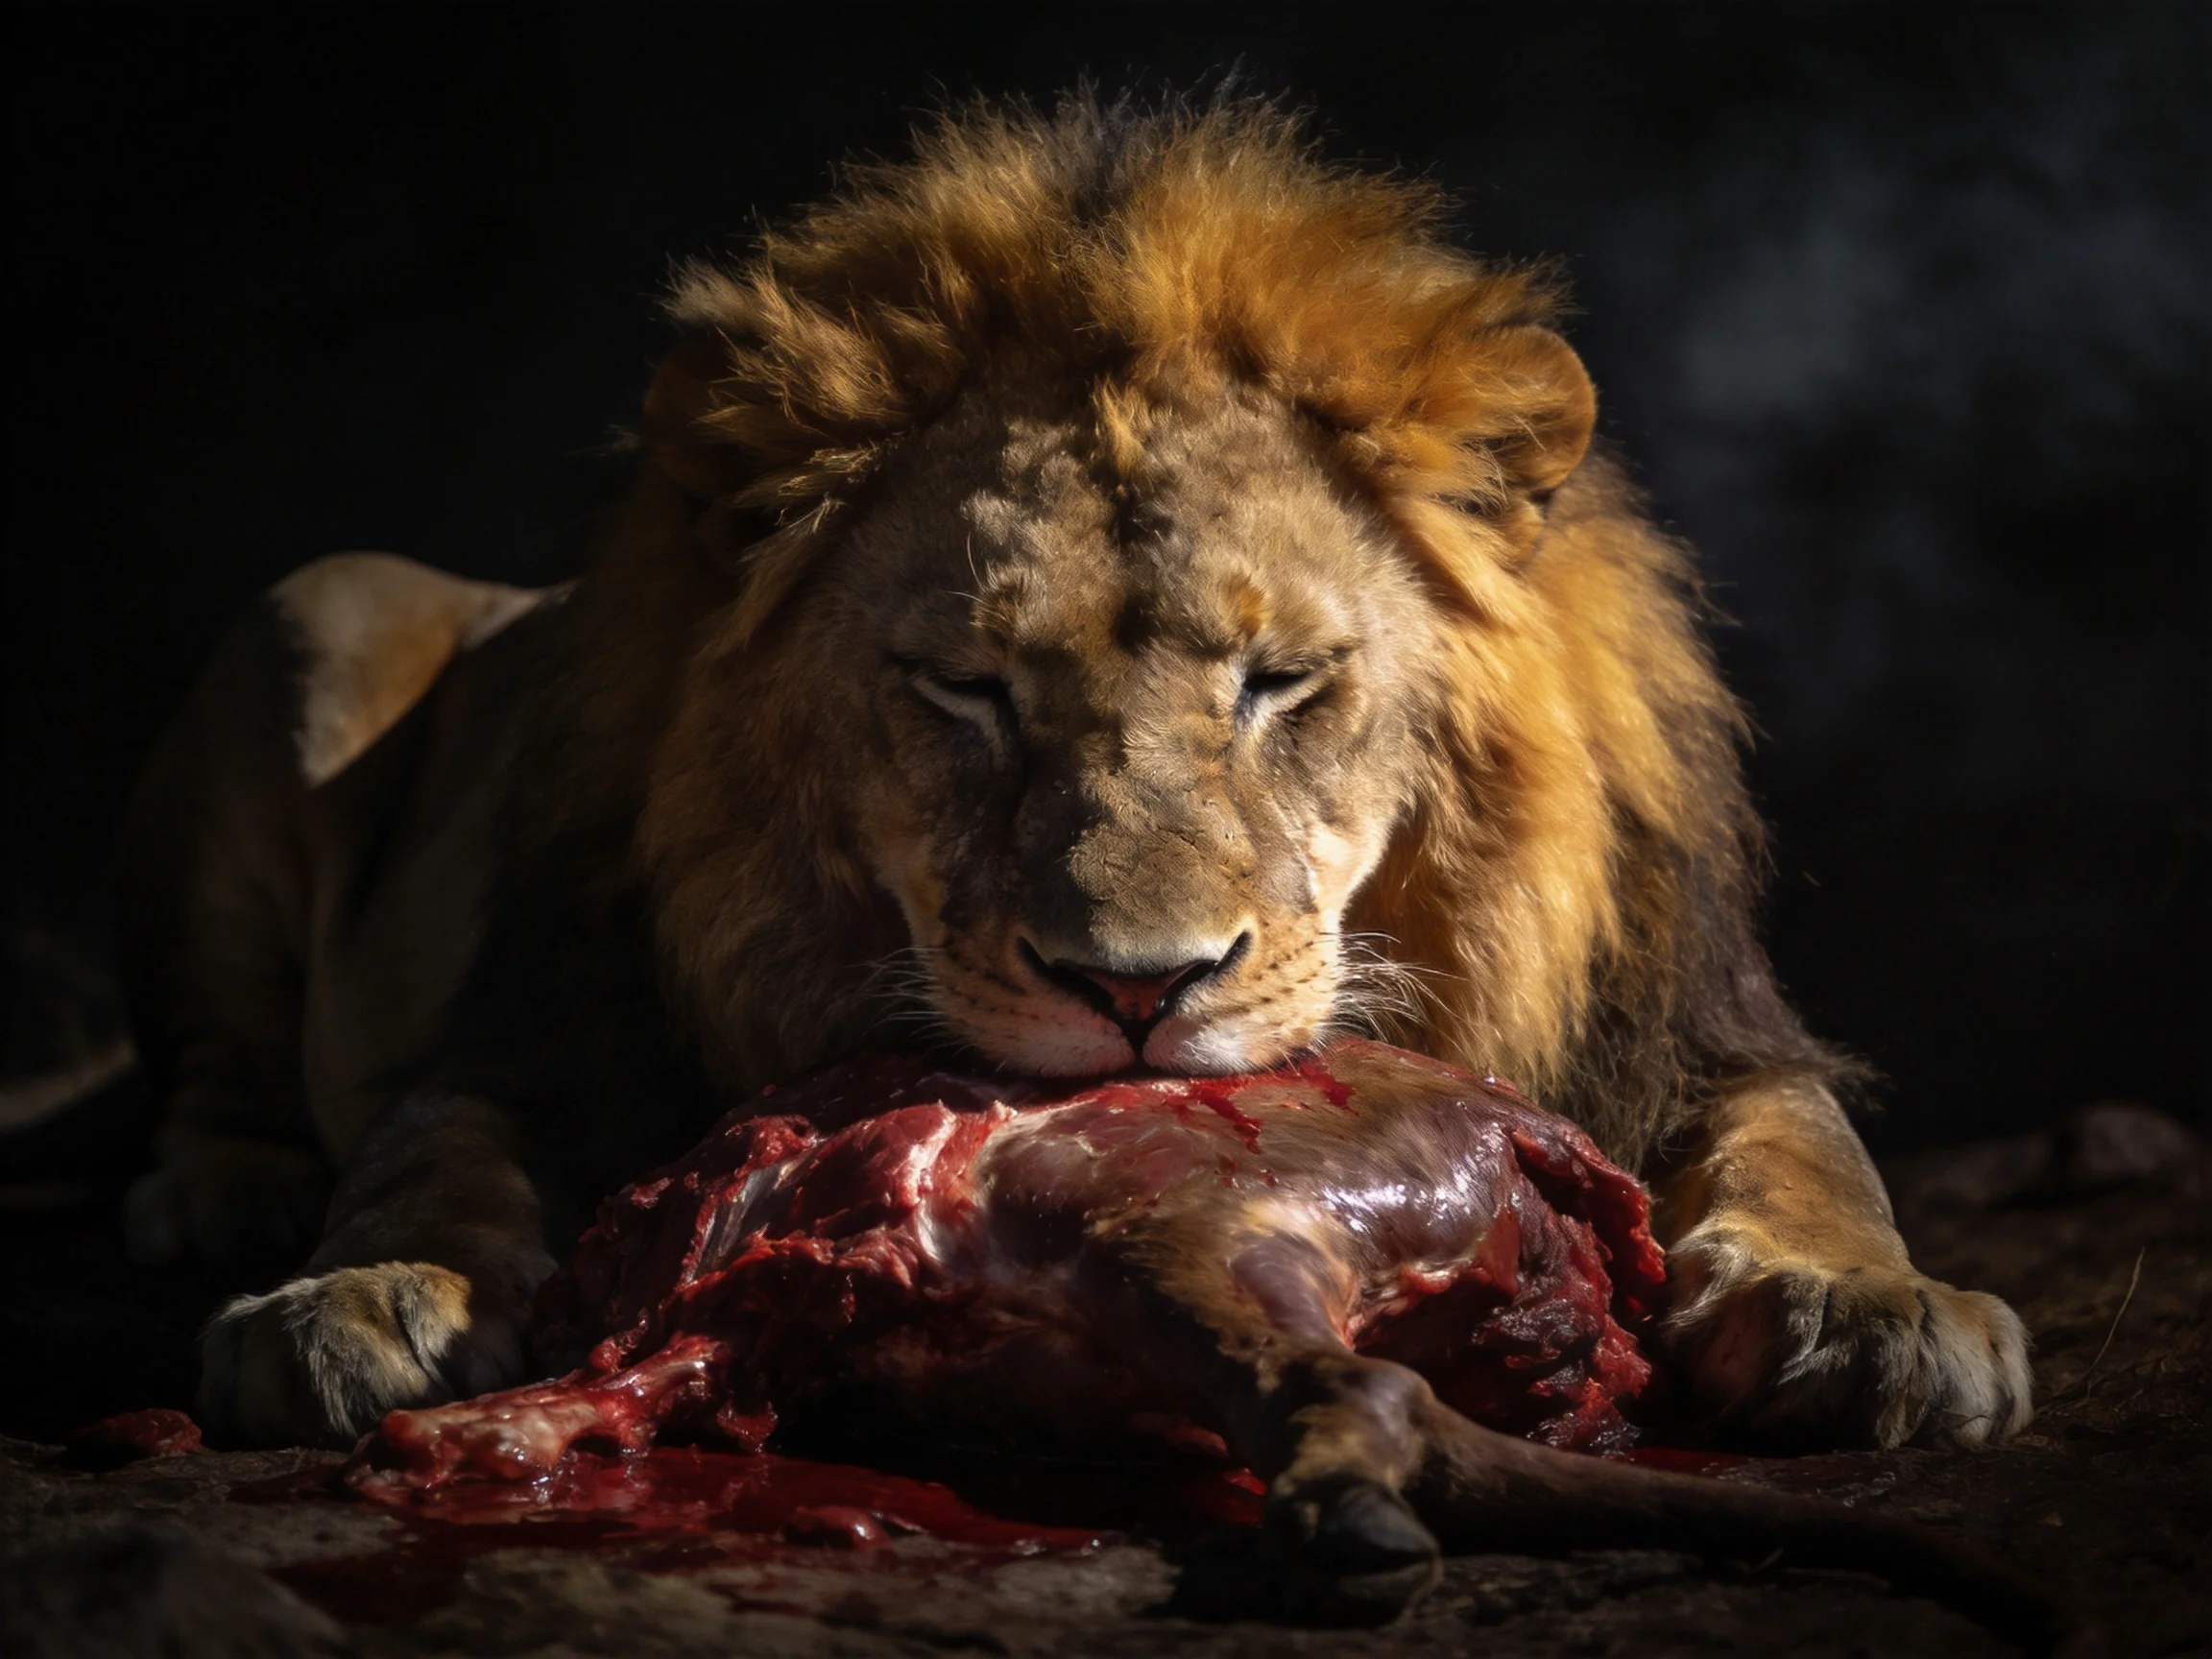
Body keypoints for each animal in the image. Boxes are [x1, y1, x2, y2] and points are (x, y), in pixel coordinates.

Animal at [120, 95, 2030, 1468]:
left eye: (1278, 683)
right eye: (967, 689)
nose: (1135, 992)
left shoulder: (1696, 1030)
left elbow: (1809, 1150)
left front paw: (1869, 1311)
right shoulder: (527, 1028)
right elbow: (431, 1152)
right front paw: (352, 1294)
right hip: (310, 611)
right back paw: (226, 1186)